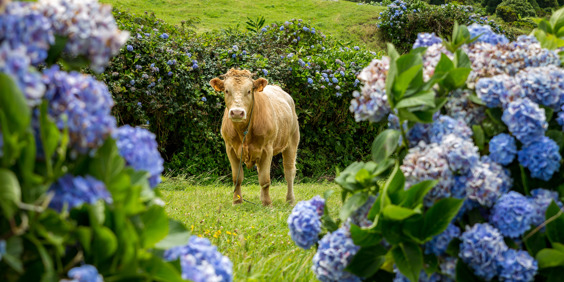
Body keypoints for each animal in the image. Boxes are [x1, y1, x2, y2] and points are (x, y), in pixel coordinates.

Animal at [209, 68, 300, 205]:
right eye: (227, 90)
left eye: (249, 91)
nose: (237, 112)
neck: (244, 131)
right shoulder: (230, 148)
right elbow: (237, 178)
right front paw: (237, 202)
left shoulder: (267, 149)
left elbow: (265, 179)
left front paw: (267, 204)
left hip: (292, 142)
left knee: (289, 171)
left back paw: (290, 200)